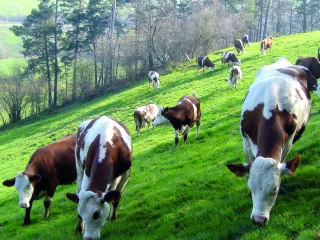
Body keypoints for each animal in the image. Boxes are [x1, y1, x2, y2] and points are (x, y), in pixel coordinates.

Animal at [225, 56, 320, 225]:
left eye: (275, 188)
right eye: (251, 188)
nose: (258, 219)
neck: (270, 107)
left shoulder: (288, 141)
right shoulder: (245, 140)